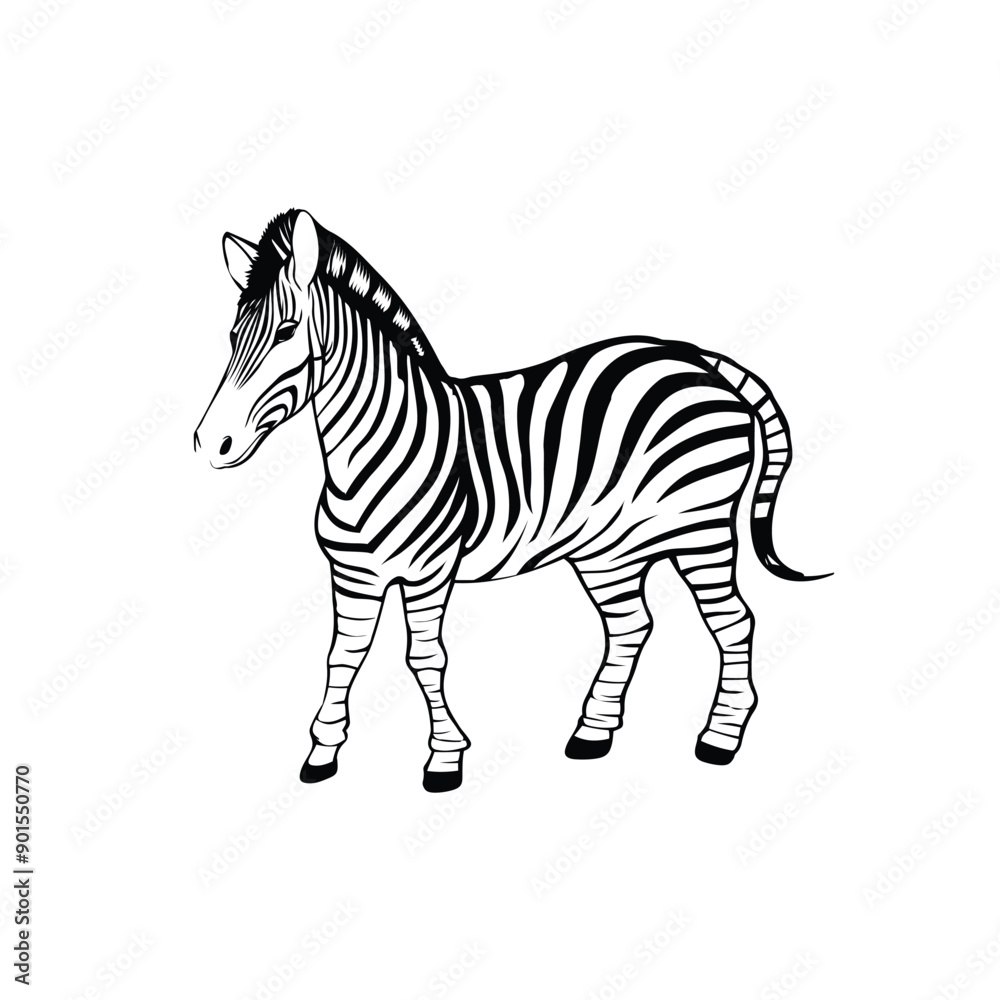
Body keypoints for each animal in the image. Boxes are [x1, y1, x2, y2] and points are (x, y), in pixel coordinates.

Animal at [194, 209, 828, 792]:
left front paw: (445, 760)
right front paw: (322, 754)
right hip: (609, 550)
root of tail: (695, 357)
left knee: (733, 622)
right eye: (230, 337)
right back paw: (592, 734)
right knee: (631, 625)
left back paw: (720, 739)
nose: (210, 443)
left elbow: (425, 658)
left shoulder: (430, 571)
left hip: (702, 529)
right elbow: (341, 657)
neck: (368, 455)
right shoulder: (352, 575)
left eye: (287, 331)